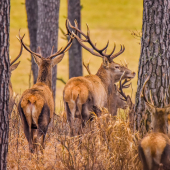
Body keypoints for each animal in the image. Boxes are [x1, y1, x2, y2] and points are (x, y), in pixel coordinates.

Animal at [17, 21, 74, 153]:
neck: (43, 83)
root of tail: (31, 100)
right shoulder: (49, 119)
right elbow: (43, 143)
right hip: (42, 119)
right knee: (38, 142)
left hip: (24, 120)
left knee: (30, 143)